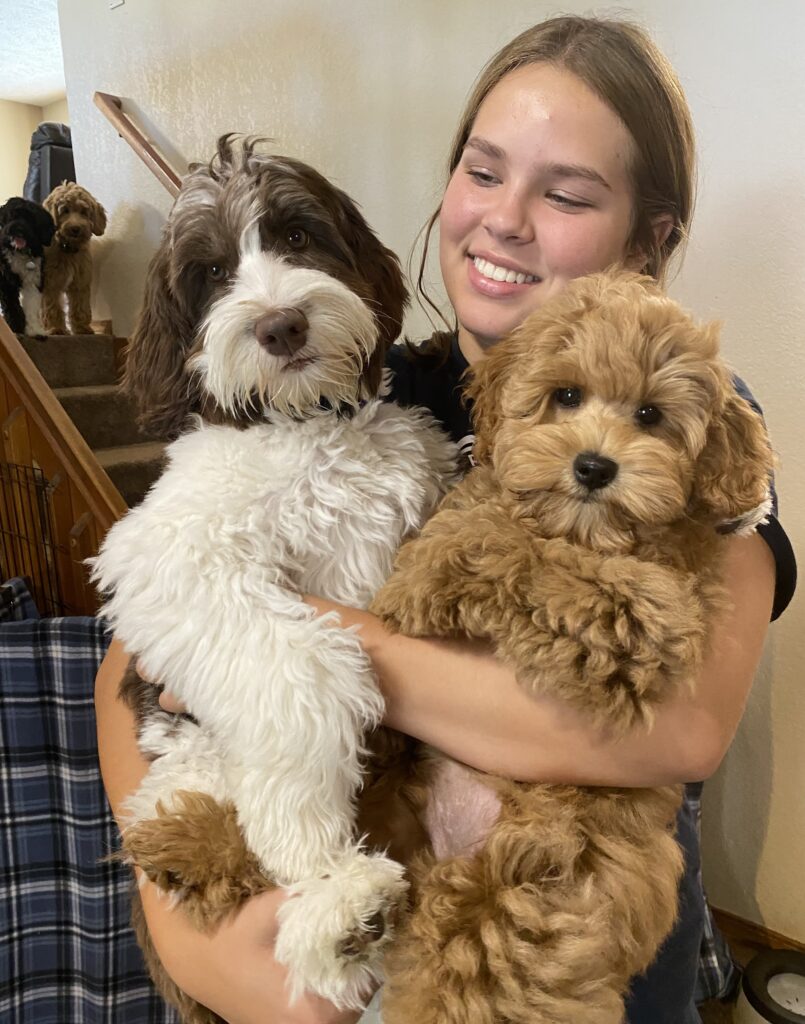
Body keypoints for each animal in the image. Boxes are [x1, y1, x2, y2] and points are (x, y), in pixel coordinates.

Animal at [40, 180, 106, 331]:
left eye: (84, 212)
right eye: (64, 210)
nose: (75, 229)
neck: (67, 249)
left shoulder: (80, 281)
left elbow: (80, 306)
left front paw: (82, 327)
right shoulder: (50, 282)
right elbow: (52, 307)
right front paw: (55, 328)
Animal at [91, 134, 454, 1015]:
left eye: (295, 235)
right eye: (212, 272)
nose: (281, 324)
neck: (304, 425)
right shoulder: (168, 556)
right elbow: (304, 664)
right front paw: (312, 851)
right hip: (188, 763)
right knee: (205, 832)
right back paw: (333, 905)